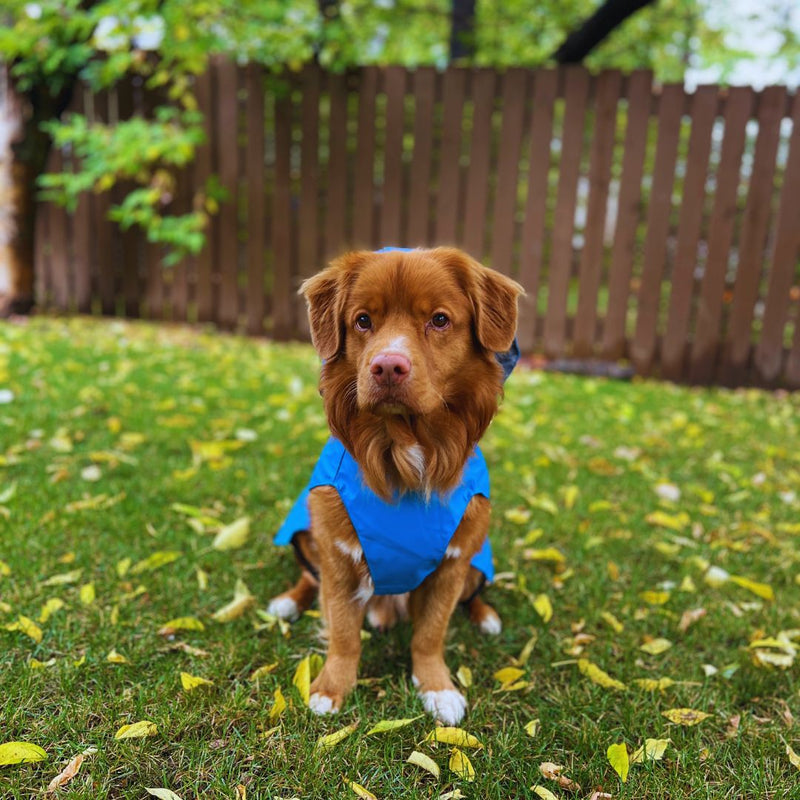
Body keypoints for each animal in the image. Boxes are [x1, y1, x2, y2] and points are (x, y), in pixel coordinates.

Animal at [266, 245, 520, 724]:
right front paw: (331, 688)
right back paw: (287, 602)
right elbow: (344, 632)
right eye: (363, 320)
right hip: (308, 533)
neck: (403, 451)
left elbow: (430, 633)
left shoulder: (454, 562)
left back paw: (487, 616)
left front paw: (437, 687)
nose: (387, 366)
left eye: (439, 320)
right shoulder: (337, 555)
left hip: (478, 564)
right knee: (309, 577)